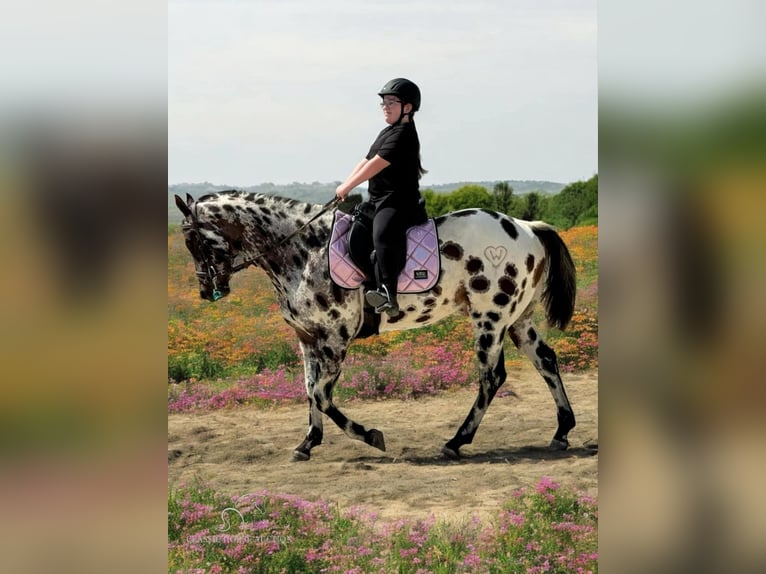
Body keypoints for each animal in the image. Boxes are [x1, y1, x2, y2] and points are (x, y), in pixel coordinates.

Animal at [177, 192, 580, 464]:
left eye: (193, 240)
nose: (207, 291)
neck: (303, 250)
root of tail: (526, 227)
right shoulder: (307, 337)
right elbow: (309, 390)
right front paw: (307, 443)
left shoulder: (336, 337)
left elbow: (322, 395)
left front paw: (370, 436)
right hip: (518, 319)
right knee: (546, 360)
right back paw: (561, 431)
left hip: (489, 317)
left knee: (492, 377)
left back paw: (456, 441)